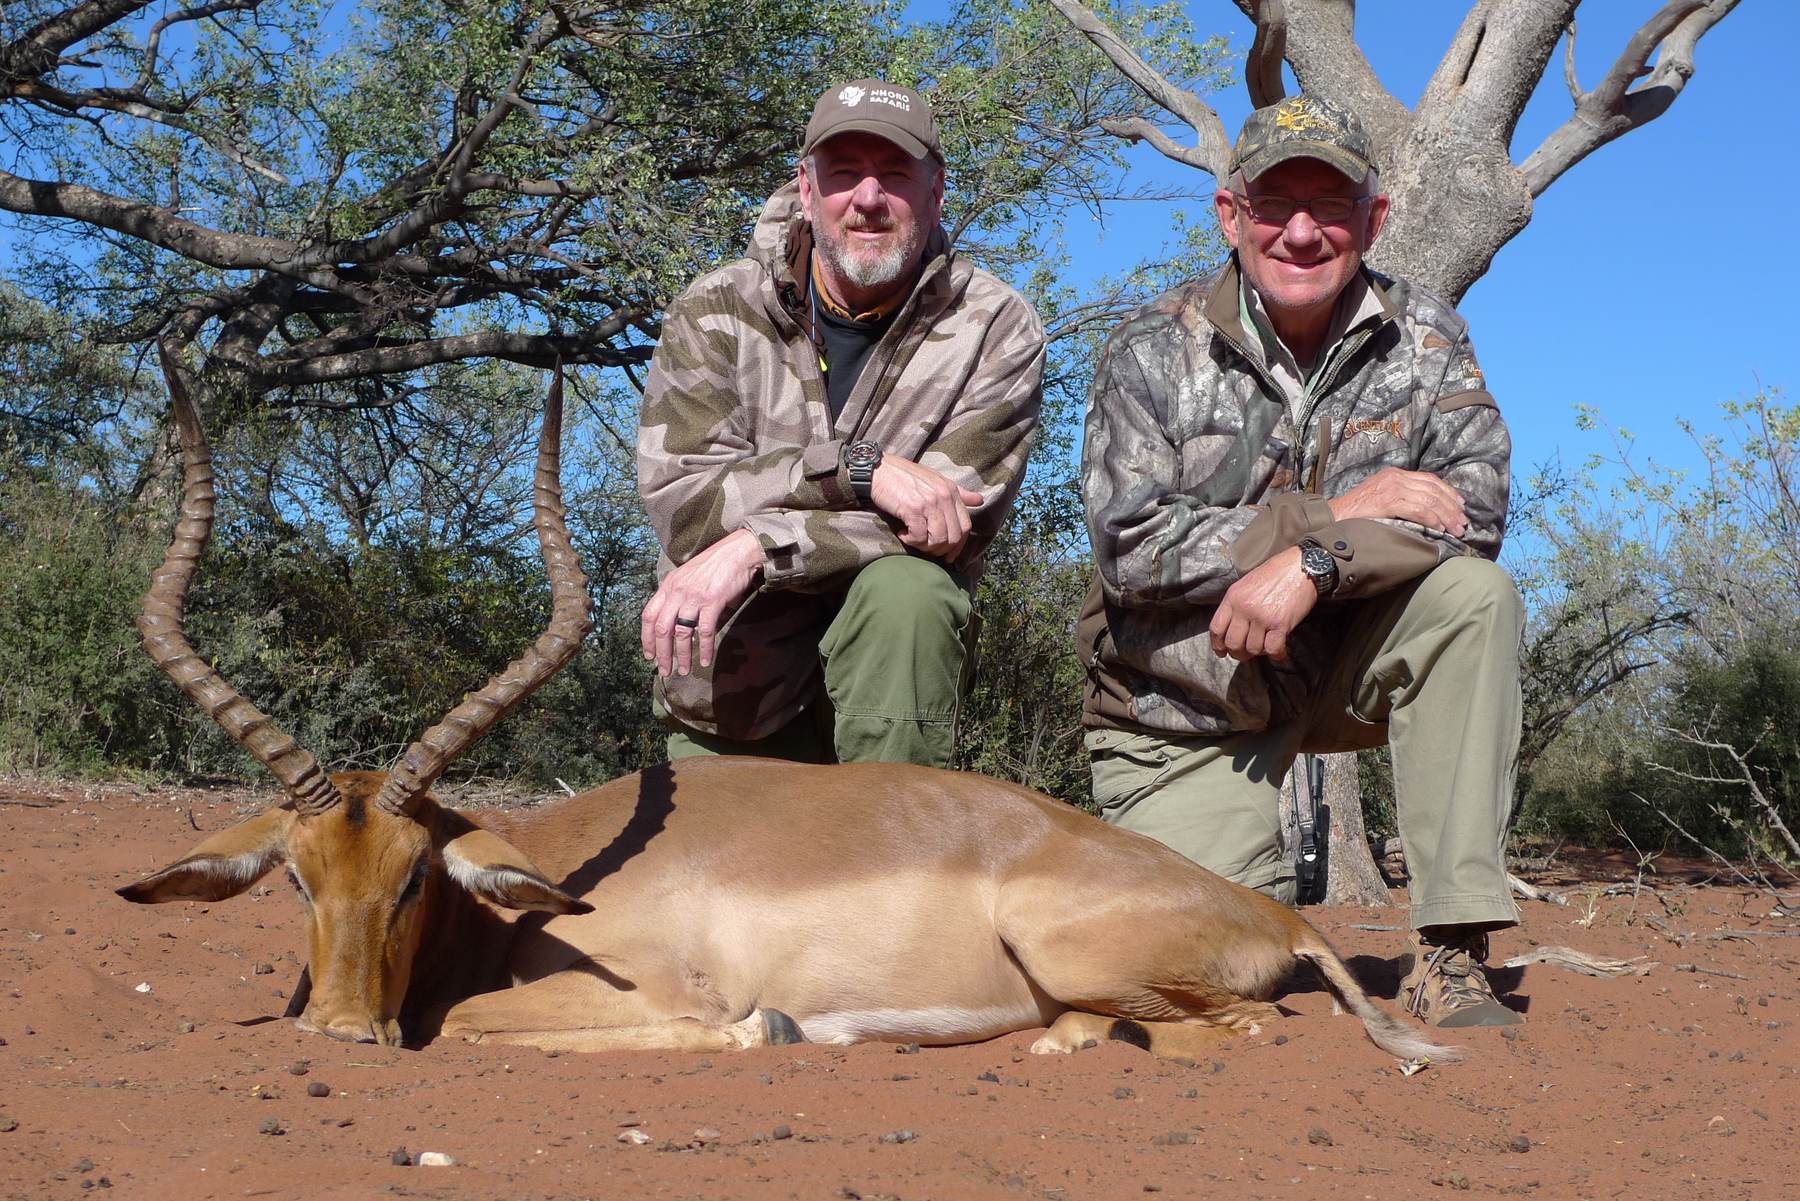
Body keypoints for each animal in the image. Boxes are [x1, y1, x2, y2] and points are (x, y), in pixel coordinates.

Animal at [118, 349, 1459, 1066]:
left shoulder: (628, 997)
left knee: (1232, 1033)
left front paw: (768, 1033)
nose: (340, 1033)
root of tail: (1266, 910)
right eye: (298, 878)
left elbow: (484, 1030)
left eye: (411, 879)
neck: (534, 899)